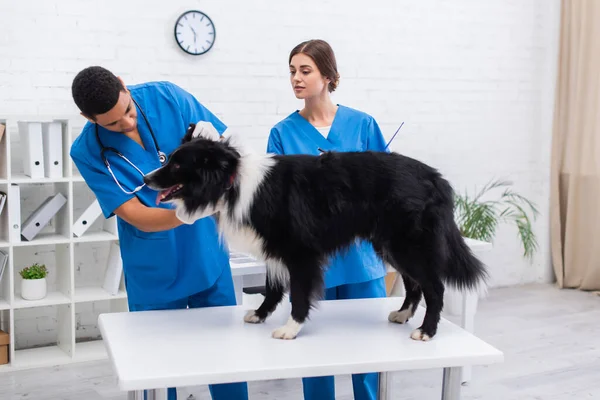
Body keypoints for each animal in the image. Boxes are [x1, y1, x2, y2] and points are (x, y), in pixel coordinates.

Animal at [144, 124, 488, 340]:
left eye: (177, 165)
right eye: (170, 160)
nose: (146, 179)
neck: (232, 181)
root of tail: (436, 178)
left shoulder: (299, 252)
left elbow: (297, 293)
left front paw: (291, 329)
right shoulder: (275, 249)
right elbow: (273, 287)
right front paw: (260, 314)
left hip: (408, 243)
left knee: (434, 287)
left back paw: (427, 331)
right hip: (391, 244)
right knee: (414, 284)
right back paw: (402, 315)